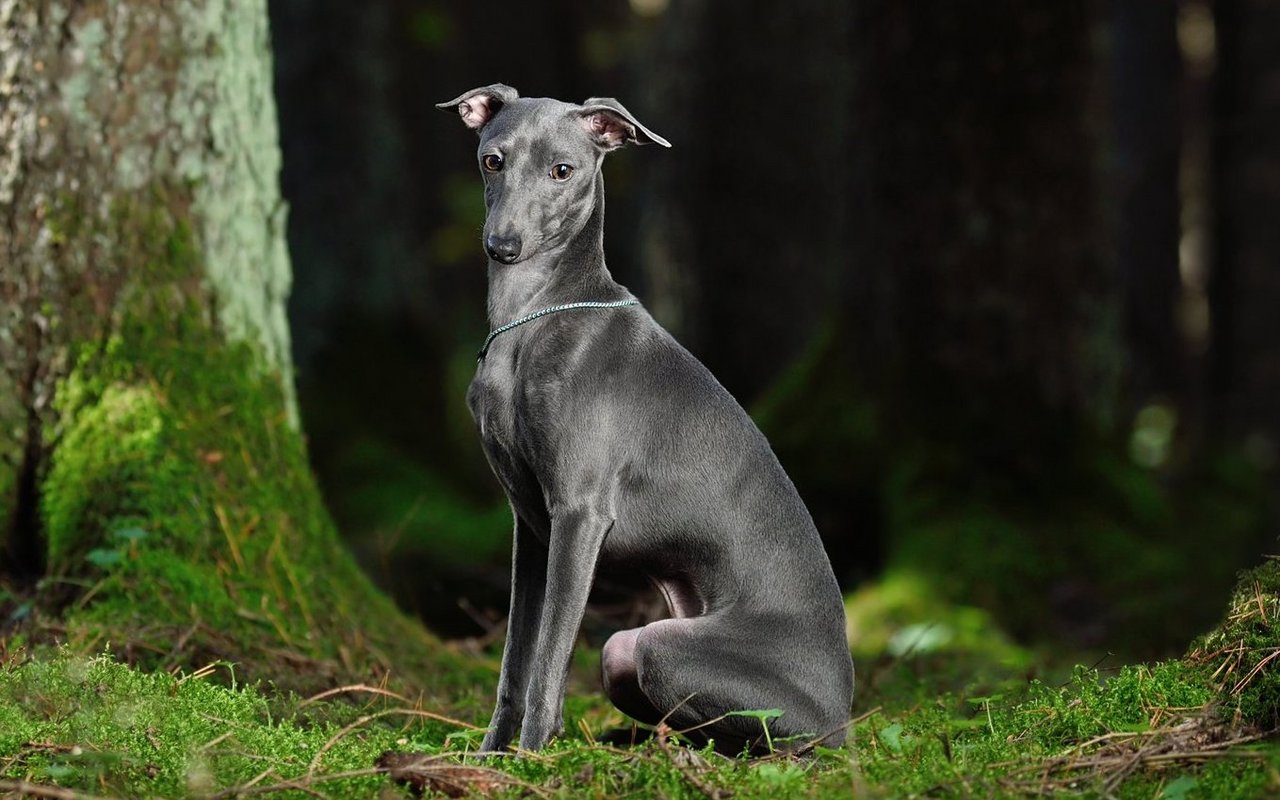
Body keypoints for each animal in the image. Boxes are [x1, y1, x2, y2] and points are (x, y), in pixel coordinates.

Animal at [437, 84, 849, 752]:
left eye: (563, 170)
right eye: (492, 160)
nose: (504, 247)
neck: (533, 316)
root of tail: (847, 712)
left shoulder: (579, 514)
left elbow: (548, 659)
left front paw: (531, 758)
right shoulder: (531, 524)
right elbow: (515, 660)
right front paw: (492, 756)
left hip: (652, 644)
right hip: (627, 653)